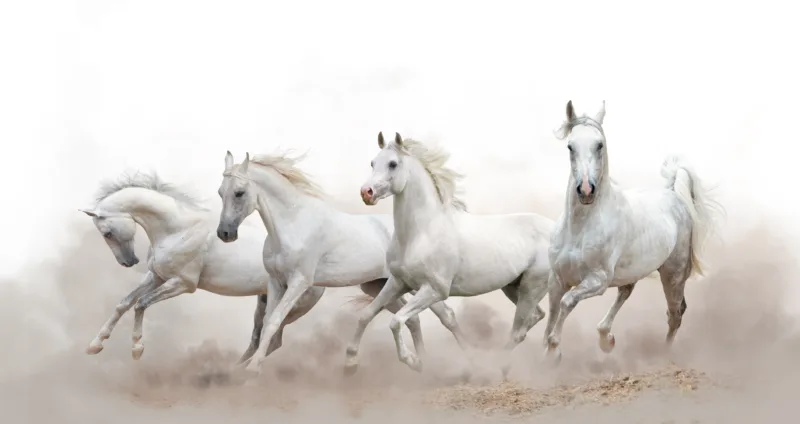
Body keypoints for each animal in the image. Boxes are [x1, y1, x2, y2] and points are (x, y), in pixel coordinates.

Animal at [79, 171, 326, 363]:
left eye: (107, 233)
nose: (128, 262)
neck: (179, 229)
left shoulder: (183, 284)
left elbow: (141, 304)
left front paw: (137, 349)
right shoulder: (156, 277)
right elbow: (124, 303)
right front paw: (95, 345)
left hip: (291, 307)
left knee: (272, 339)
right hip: (265, 301)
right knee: (260, 338)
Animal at [215, 150, 468, 376]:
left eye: (239, 193)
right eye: (220, 192)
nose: (225, 233)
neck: (292, 225)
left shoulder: (299, 283)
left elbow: (274, 322)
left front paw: (252, 369)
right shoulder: (275, 282)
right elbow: (267, 321)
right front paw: (247, 367)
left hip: (417, 285)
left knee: (446, 316)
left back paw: (467, 359)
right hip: (379, 285)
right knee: (412, 319)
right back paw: (418, 363)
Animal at [355, 132, 555, 378]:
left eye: (393, 163)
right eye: (372, 163)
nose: (366, 193)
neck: (421, 233)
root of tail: (556, 229)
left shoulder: (434, 290)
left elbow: (396, 321)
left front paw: (415, 362)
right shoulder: (398, 282)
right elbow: (366, 314)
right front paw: (349, 363)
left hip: (532, 287)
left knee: (519, 330)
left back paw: (498, 367)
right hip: (512, 286)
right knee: (535, 317)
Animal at [543, 100, 723, 362]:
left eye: (599, 145)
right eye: (570, 146)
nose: (586, 190)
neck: (579, 228)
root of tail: (673, 194)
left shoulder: (597, 281)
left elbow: (567, 303)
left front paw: (554, 349)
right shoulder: (557, 278)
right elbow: (552, 313)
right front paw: (546, 352)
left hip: (673, 274)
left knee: (675, 313)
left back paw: (663, 355)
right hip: (634, 269)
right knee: (627, 292)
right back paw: (606, 338)